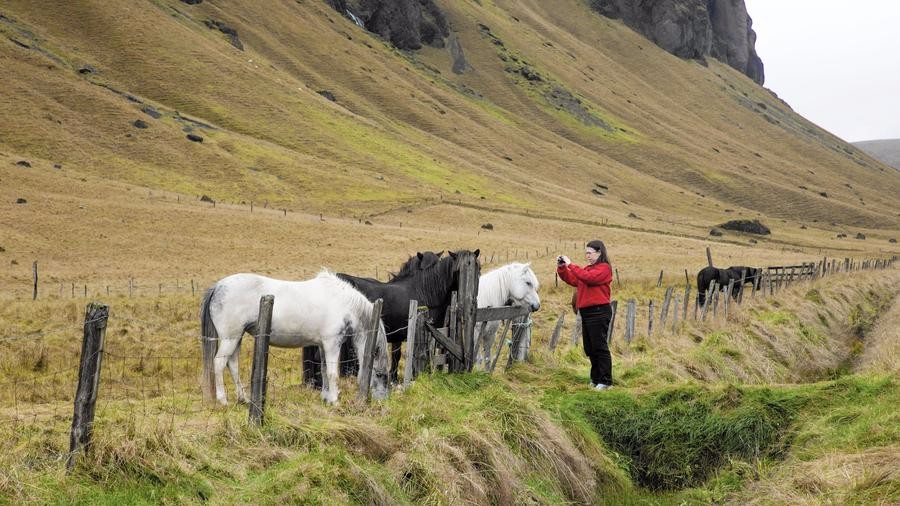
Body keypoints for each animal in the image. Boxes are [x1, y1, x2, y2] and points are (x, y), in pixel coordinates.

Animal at [200, 270, 390, 406]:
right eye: (380, 374)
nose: (382, 400)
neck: (342, 303)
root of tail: (218, 286)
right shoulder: (331, 344)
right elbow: (332, 373)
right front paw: (335, 401)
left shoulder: (323, 345)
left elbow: (323, 371)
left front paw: (326, 397)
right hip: (230, 338)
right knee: (219, 364)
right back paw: (223, 400)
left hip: (236, 338)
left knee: (232, 364)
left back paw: (243, 399)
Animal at [338, 249, 478, 384]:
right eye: (458, 271)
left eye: (477, 268)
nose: (472, 297)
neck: (425, 291)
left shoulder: (398, 335)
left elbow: (397, 356)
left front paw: (394, 379)